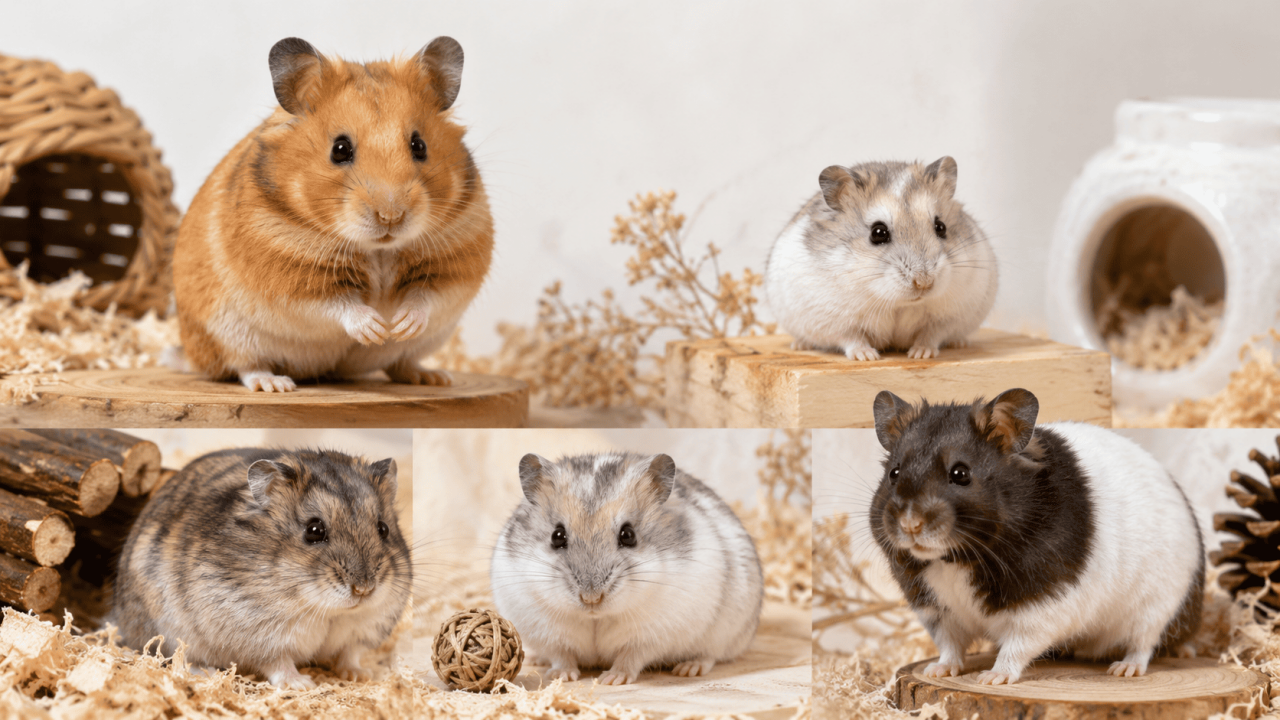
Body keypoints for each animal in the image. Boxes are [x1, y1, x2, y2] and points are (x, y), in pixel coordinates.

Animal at [110, 448, 412, 689]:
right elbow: (279, 662)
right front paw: (302, 684)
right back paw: (205, 672)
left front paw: (362, 675)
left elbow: (350, 654)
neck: (327, 611)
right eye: (314, 530)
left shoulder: (364, 629)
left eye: (383, 529)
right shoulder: (261, 637)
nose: (364, 589)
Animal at [172, 36, 493, 392]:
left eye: (419, 146)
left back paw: (433, 377)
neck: (379, 250)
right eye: (340, 149)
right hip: (226, 336)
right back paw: (276, 384)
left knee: (400, 364)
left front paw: (399, 326)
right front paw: (376, 329)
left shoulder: (455, 267)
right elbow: (339, 305)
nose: (391, 217)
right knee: (244, 366)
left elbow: (426, 298)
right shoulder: (291, 276)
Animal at [490, 452, 763, 685]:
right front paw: (561, 676)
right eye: (557, 536)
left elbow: (631, 656)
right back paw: (538, 660)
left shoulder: (652, 634)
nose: (591, 599)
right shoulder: (546, 632)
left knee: (710, 655)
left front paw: (611, 679)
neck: (596, 618)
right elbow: (562, 655)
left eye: (628, 535)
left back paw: (688, 668)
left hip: (726, 634)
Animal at [765, 158, 997, 360]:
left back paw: (960, 343)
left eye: (941, 227)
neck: (898, 303)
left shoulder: (949, 318)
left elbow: (931, 335)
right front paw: (868, 357)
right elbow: (851, 338)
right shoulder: (833, 322)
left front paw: (920, 354)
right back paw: (799, 345)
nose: (924, 283)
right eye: (878, 233)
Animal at [869, 388, 1204, 685]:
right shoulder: (935, 609)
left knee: (1143, 644)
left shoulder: (1041, 606)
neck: (956, 559)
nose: (910, 524)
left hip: (1156, 607)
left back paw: (1124, 669)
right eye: (894, 474)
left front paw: (992, 678)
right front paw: (936, 672)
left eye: (960, 474)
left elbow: (1016, 646)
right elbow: (950, 646)